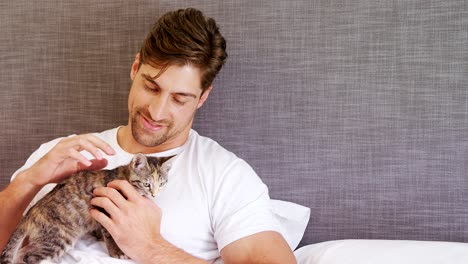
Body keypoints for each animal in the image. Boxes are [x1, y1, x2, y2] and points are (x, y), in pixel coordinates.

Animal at [0, 154, 175, 262]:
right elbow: (109, 234)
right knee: (29, 257)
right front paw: (116, 251)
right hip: (59, 236)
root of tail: (29, 214)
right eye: (147, 184)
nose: (154, 194)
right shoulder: (103, 205)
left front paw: (98, 234)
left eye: (162, 183)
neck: (124, 177)